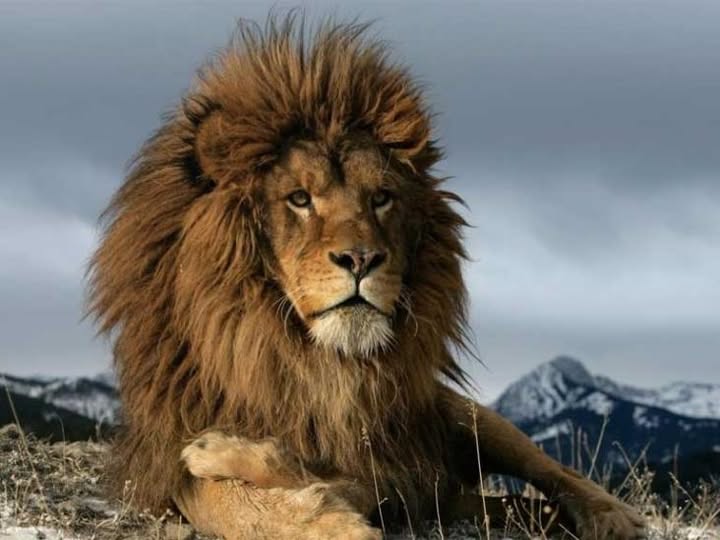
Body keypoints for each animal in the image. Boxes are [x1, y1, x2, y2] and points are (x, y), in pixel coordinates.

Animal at [89, 15, 645, 539]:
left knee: (559, 474)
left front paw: (244, 462)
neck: (314, 363)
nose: (360, 259)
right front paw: (317, 514)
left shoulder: (392, 468)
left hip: (470, 417)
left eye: (380, 198)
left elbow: (322, 476)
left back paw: (614, 516)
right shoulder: (168, 457)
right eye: (299, 198)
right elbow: (234, 503)